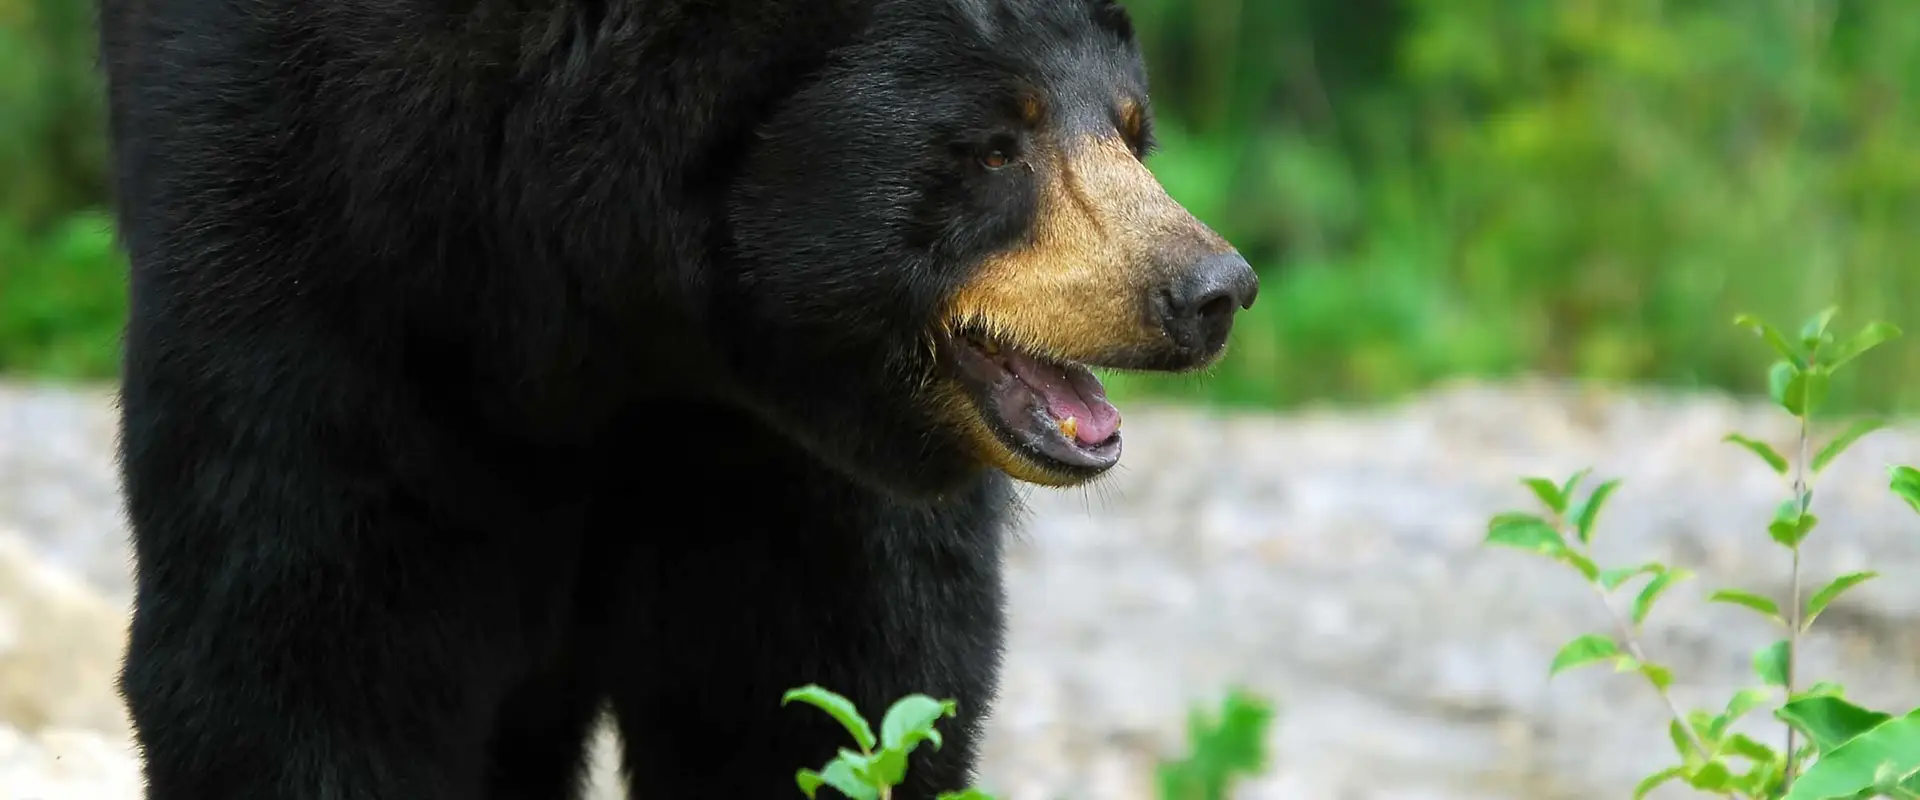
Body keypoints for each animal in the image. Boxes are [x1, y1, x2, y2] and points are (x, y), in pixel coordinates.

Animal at [94, 0, 1258, 797]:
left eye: (1130, 125)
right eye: (994, 145)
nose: (1211, 289)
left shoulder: (773, 440)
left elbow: (823, 675)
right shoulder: (317, 236)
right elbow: (304, 646)